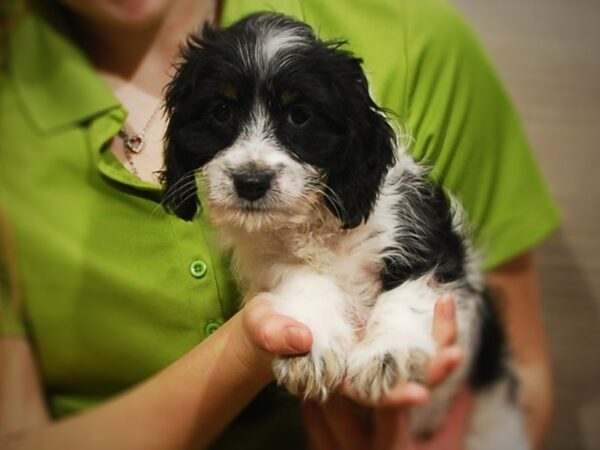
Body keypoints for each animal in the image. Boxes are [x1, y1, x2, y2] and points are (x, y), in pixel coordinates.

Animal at [162, 12, 528, 448]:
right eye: (220, 111)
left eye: (299, 116)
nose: (251, 182)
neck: (315, 221)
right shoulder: (269, 260)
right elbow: (301, 276)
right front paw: (311, 348)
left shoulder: (427, 242)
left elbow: (411, 293)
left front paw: (390, 356)